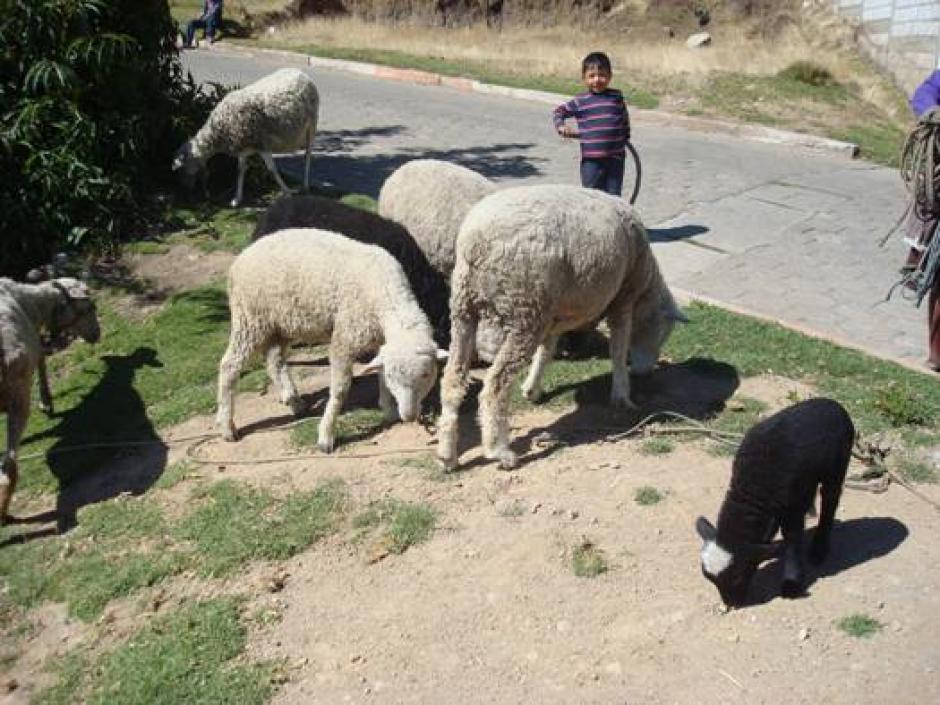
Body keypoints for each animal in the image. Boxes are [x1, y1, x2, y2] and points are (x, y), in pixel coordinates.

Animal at [0, 278, 101, 522]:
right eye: (89, 307)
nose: (97, 334)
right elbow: (42, 359)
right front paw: (46, 401)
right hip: (18, 397)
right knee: (9, 466)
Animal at [172, 68, 319, 208]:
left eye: (182, 168)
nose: (185, 188)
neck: (218, 132)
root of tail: (300, 72)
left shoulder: (261, 143)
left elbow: (272, 170)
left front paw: (288, 192)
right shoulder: (243, 148)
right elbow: (240, 170)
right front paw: (237, 199)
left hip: (312, 124)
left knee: (308, 155)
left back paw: (305, 185)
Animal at [216, 228, 447, 452]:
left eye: (426, 375)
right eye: (394, 377)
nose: (409, 416)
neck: (385, 294)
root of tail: (240, 259)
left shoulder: (380, 342)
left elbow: (379, 374)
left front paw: (389, 409)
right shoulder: (344, 340)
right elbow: (340, 390)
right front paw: (326, 435)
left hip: (280, 324)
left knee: (274, 361)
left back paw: (294, 401)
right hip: (250, 318)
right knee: (230, 365)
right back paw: (227, 425)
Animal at [436, 184, 685, 471]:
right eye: (662, 333)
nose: (645, 372)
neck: (645, 287)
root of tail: (476, 241)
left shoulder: (554, 316)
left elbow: (546, 351)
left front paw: (532, 388)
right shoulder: (622, 299)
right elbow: (618, 350)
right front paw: (622, 394)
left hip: (466, 307)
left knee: (452, 380)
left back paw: (447, 454)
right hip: (524, 310)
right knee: (495, 387)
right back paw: (499, 451)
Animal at [695, 398, 855, 607]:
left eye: (737, 577)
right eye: (710, 580)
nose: (732, 604)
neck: (753, 490)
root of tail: (832, 403)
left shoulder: (793, 505)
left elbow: (792, 539)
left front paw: (791, 584)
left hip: (837, 464)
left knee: (830, 499)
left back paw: (819, 549)